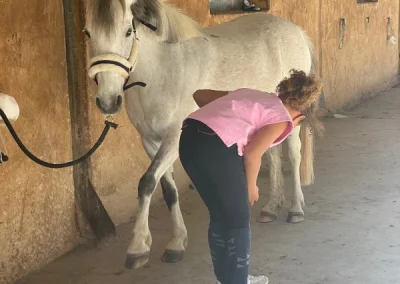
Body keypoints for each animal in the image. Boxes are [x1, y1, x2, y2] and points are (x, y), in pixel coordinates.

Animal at [86, 0, 318, 268]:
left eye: (127, 32)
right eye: (88, 33)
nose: (107, 102)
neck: (164, 71)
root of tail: (297, 31)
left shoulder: (174, 138)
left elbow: (146, 183)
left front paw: (138, 248)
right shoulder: (150, 142)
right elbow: (167, 190)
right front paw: (176, 243)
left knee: (293, 154)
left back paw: (295, 209)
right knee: (271, 155)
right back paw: (271, 208)